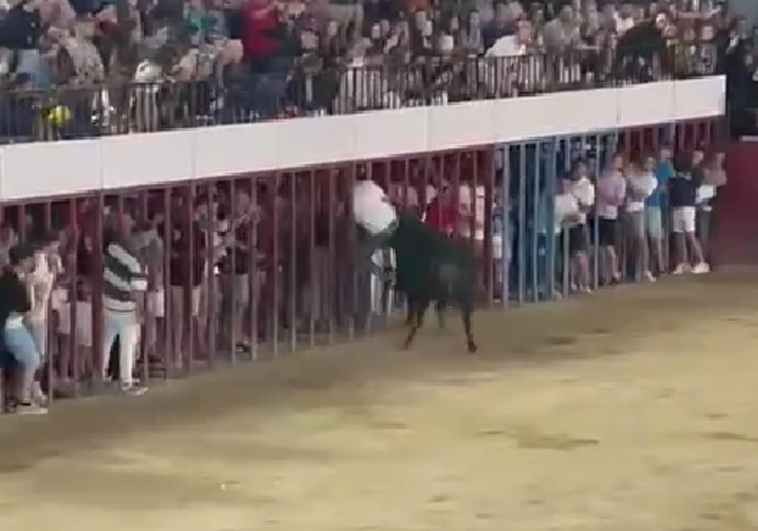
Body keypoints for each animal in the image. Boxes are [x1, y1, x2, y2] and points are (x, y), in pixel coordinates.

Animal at [386, 212, 480, 354]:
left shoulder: (417, 290)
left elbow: (413, 307)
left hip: (429, 293)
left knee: (419, 316)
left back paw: (408, 341)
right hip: (465, 295)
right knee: (466, 319)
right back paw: (471, 345)